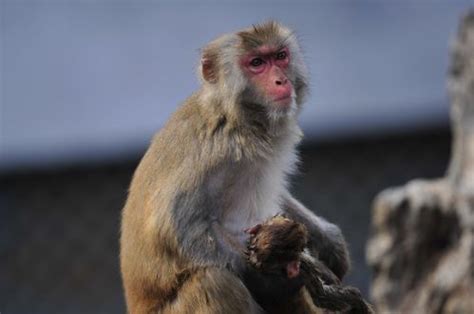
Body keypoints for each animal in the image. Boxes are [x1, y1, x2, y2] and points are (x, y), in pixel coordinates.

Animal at [120, 20, 350, 312]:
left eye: (280, 56)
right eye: (256, 63)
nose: (281, 80)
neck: (238, 117)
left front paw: (329, 242)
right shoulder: (215, 151)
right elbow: (173, 225)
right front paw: (269, 281)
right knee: (214, 281)